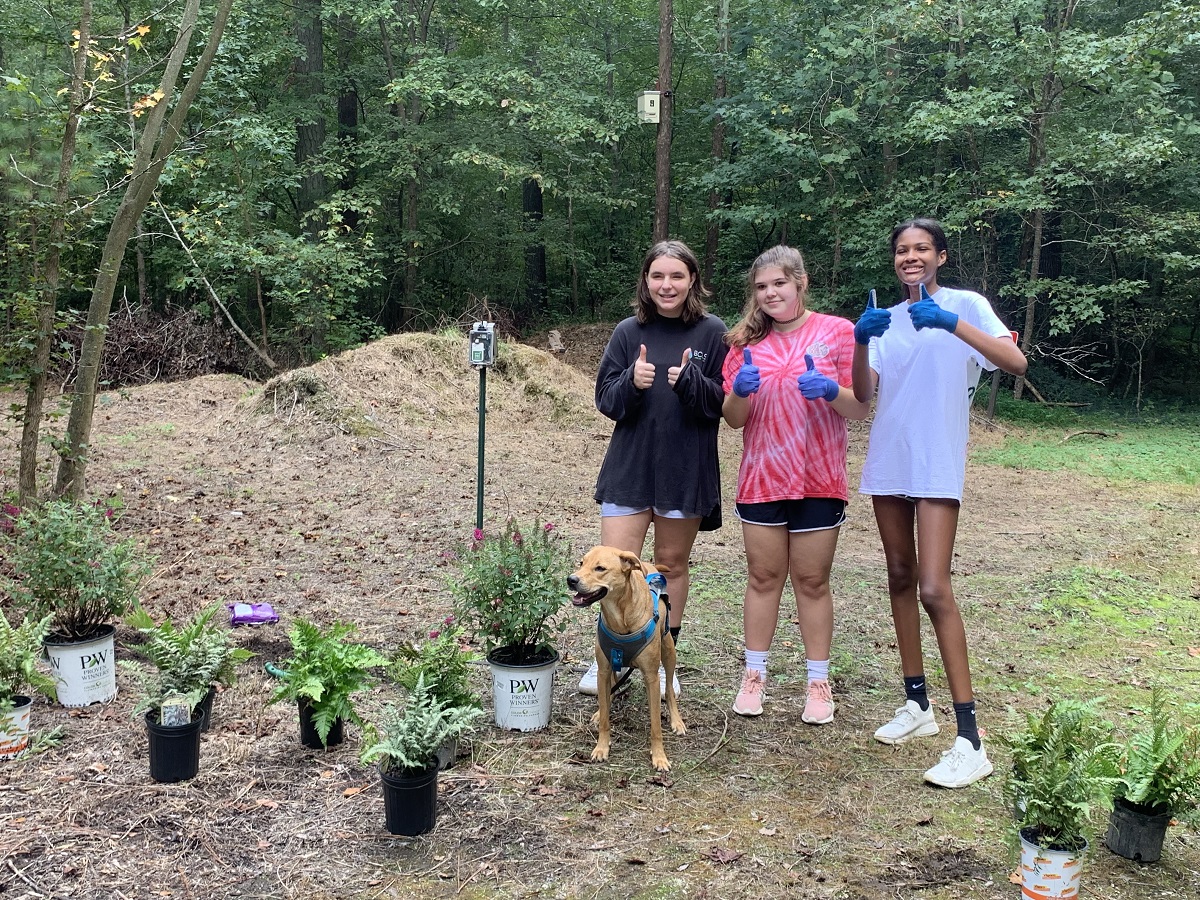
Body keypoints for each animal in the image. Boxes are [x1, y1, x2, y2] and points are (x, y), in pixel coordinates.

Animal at [568, 547, 691, 772]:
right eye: (581, 563)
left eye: (600, 568)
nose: (571, 579)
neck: (621, 618)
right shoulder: (604, 670)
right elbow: (605, 717)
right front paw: (602, 747)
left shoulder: (651, 677)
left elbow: (655, 725)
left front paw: (659, 756)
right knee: (611, 690)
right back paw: (601, 709)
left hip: (668, 651)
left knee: (669, 688)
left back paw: (677, 720)